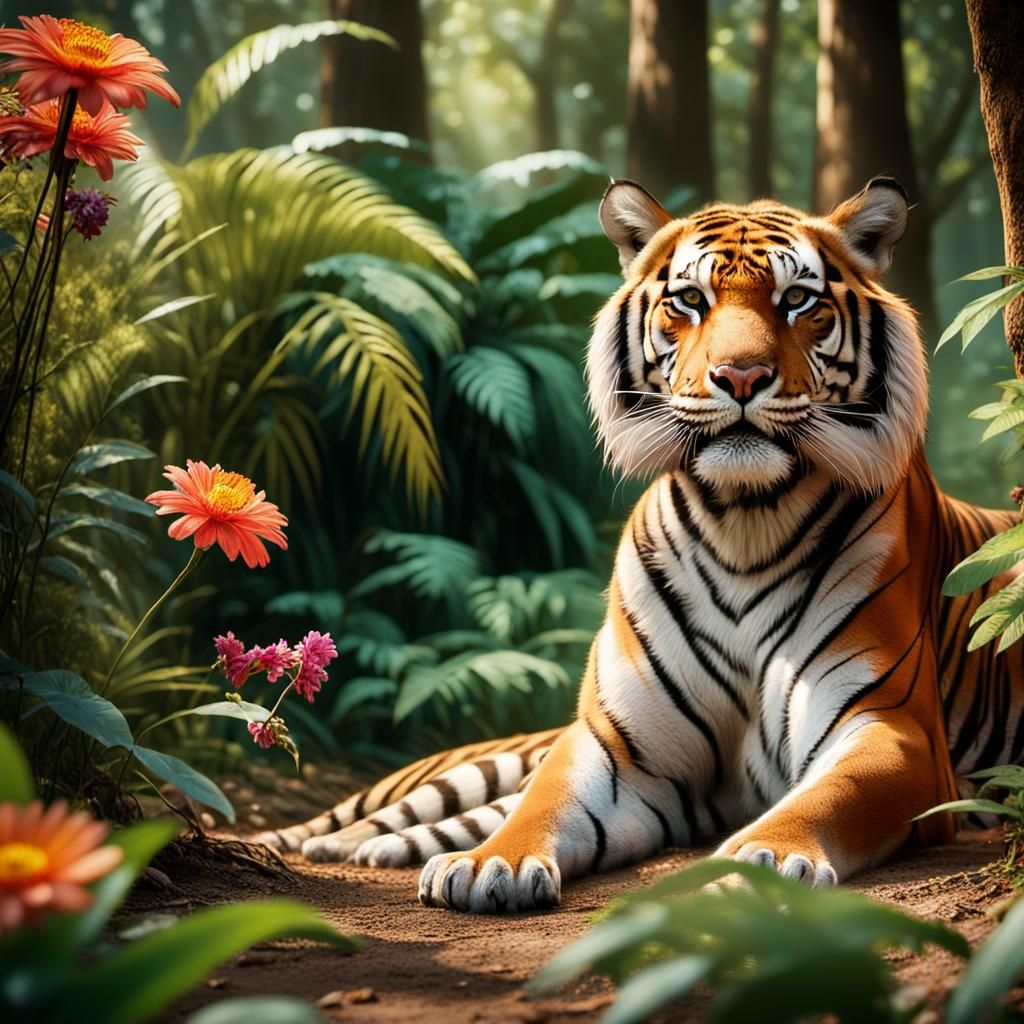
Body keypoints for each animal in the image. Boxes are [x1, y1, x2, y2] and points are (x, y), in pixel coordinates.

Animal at [256, 176, 1024, 913]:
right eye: (690, 300)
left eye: (798, 300)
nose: (741, 377)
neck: (744, 521)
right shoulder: (616, 745)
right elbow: (542, 803)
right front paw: (490, 865)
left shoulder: (892, 730)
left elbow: (824, 798)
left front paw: (763, 860)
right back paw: (338, 844)